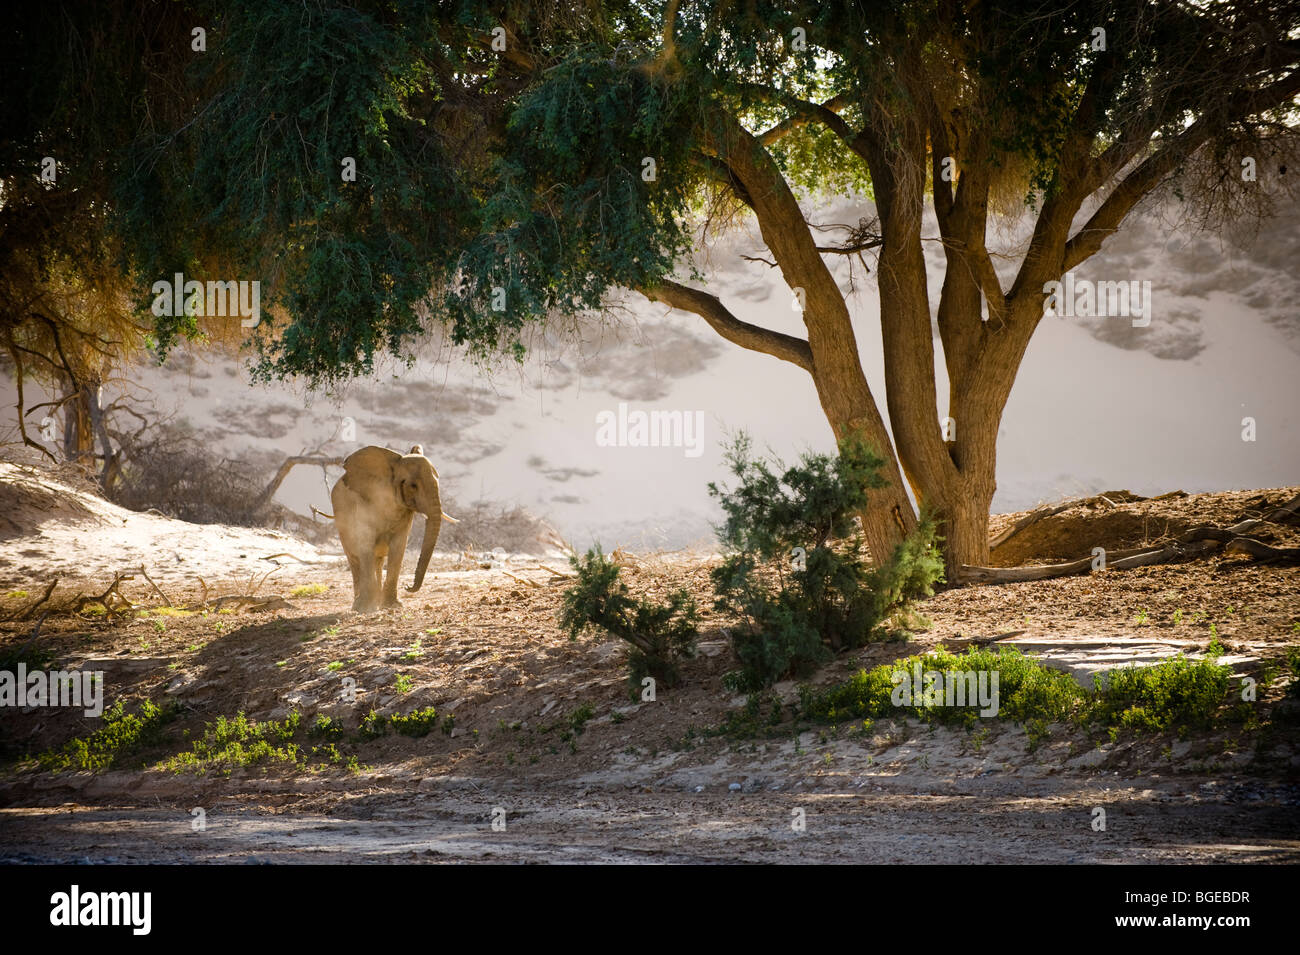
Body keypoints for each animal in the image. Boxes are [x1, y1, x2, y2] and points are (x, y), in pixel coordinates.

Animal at [330, 446, 457, 613]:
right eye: (413, 486)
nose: (408, 586)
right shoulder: (363, 505)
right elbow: (365, 544)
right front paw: (366, 608)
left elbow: (399, 547)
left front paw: (393, 605)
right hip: (341, 524)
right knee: (354, 559)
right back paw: (358, 604)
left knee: (377, 561)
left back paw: (376, 599)